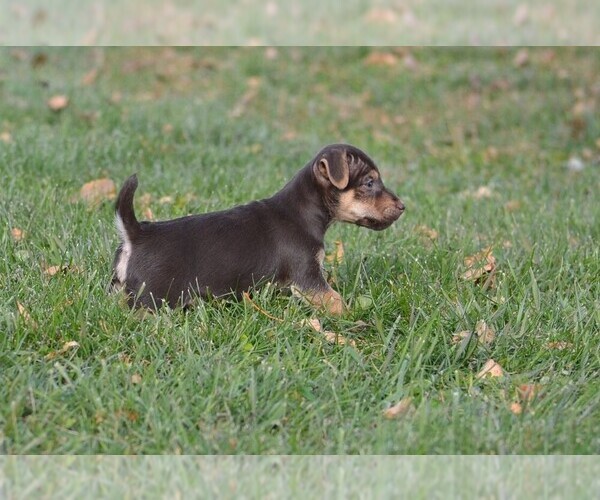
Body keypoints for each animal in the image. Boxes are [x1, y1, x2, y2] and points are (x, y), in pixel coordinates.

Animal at [110, 143, 406, 312]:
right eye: (369, 183)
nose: (403, 206)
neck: (302, 211)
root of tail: (136, 233)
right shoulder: (308, 279)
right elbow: (336, 302)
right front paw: (356, 319)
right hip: (154, 299)